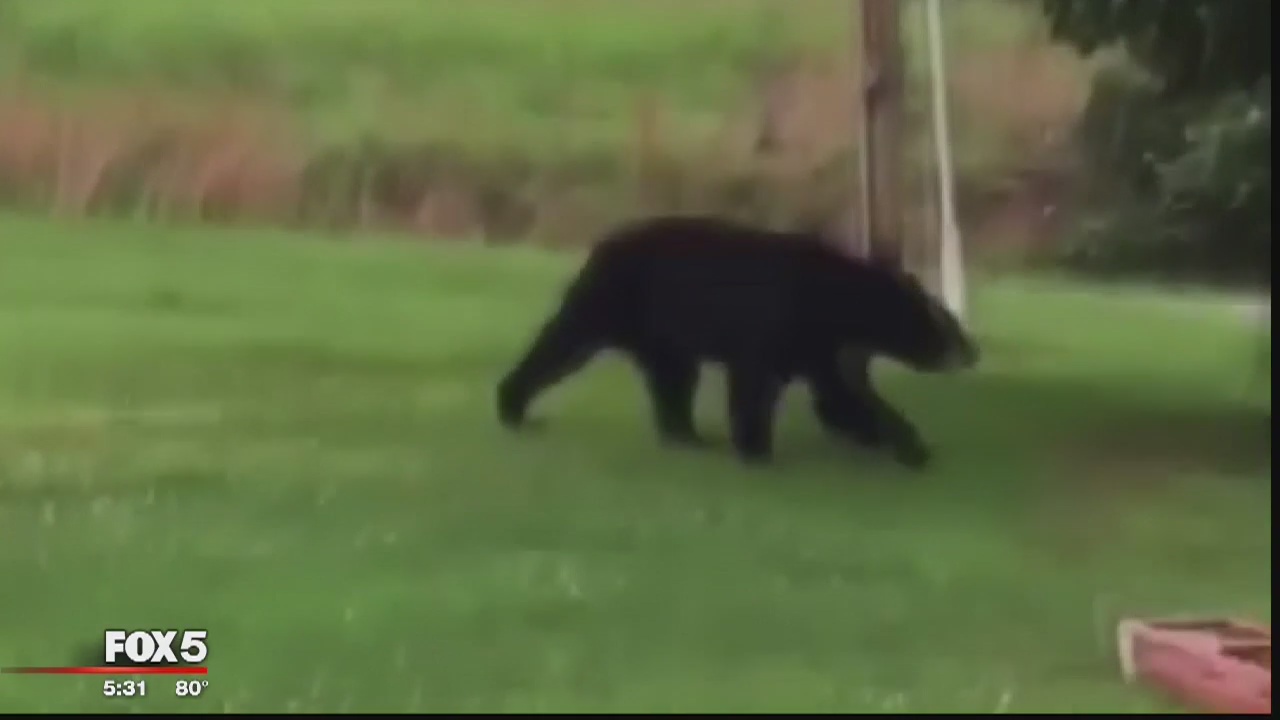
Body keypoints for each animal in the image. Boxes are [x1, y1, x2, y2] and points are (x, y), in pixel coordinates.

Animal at [496, 214, 979, 468]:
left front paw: (907, 443)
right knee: (563, 342)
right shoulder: (779, 322)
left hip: (663, 335)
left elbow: (838, 395)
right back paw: (513, 406)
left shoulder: (818, 345)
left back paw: (687, 434)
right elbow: (755, 382)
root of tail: (600, 244)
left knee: (674, 380)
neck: (837, 298)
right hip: (610, 299)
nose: (972, 351)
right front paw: (756, 448)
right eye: (947, 324)